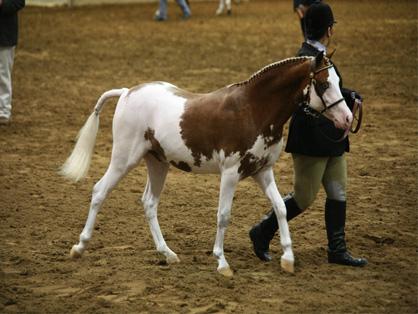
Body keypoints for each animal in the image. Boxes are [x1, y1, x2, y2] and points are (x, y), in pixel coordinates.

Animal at [61, 54, 350, 278]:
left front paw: (288, 259)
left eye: (339, 82)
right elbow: (223, 215)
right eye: (324, 84)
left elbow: (280, 208)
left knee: (149, 203)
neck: (252, 110)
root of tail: (126, 93)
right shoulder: (230, 173)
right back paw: (79, 247)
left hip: (158, 163)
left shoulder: (262, 171)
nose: (347, 119)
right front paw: (222, 262)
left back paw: (168, 254)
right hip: (123, 159)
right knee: (100, 191)